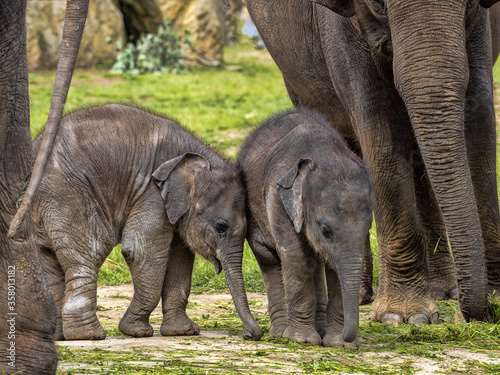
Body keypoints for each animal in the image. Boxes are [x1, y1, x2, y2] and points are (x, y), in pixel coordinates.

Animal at [29, 104, 262, 342]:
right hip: (67, 194)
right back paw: (88, 335)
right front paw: (137, 331)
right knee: (92, 250)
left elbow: (180, 258)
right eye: (221, 227)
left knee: (47, 258)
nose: (247, 334)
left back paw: (59, 336)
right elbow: (141, 251)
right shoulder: (152, 192)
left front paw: (182, 331)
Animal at [237, 109, 372, 350]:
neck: (325, 153)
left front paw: (338, 345)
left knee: (315, 262)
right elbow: (296, 258)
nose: (350, 338)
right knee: (270, 259)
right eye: (326, 231)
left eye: (368, 226)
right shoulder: (276, 198)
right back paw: (280, 334)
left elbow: (332, 266)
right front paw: (302, 340)